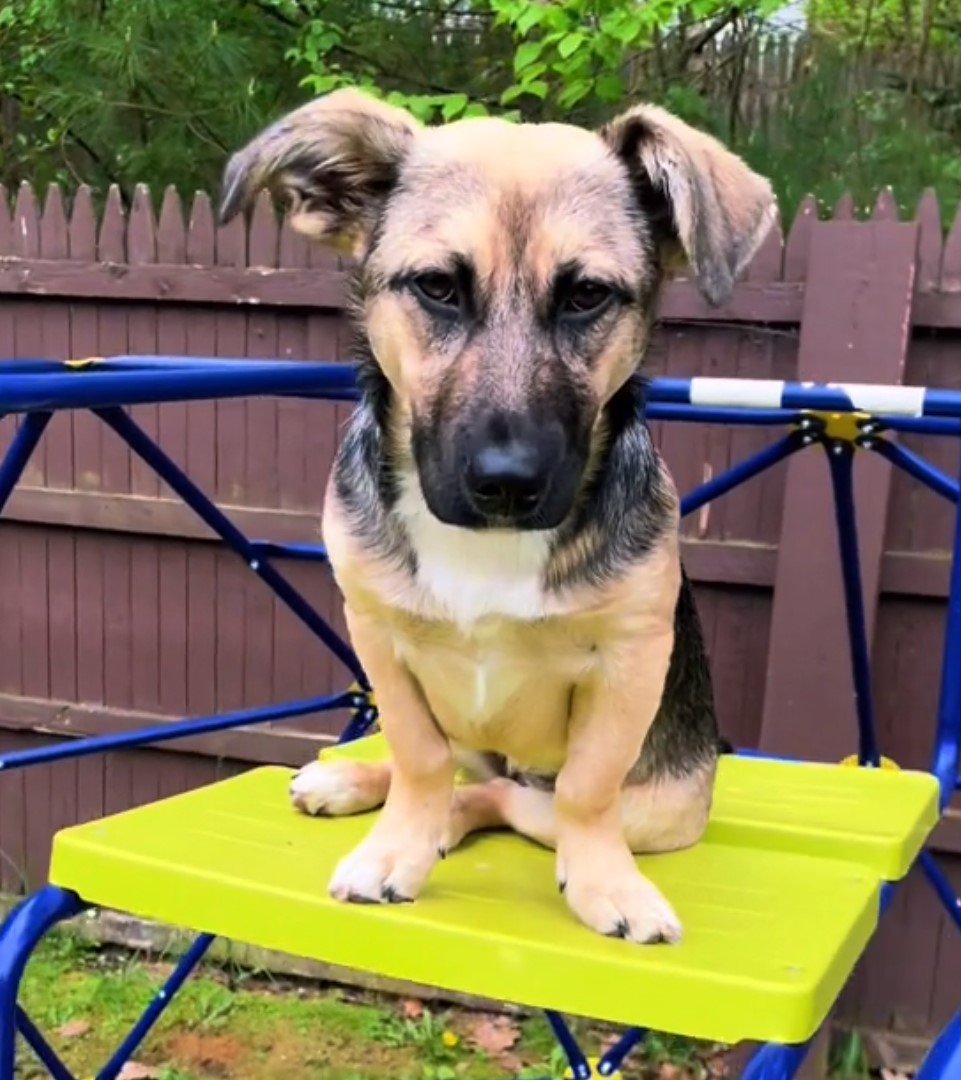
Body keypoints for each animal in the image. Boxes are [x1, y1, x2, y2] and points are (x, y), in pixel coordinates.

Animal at [217, 90, 773, 946]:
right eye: (437, 287)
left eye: (586, 296)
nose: (506, 484)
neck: (487, 549)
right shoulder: (377, 635)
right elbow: (417, 755)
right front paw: (396, 845)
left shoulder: (630, 659)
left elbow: (585, 788)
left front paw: (607, 885)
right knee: (457, 770)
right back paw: (354, 782)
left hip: (660, 810)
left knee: (513, 799)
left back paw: (454, 819)